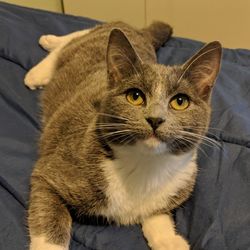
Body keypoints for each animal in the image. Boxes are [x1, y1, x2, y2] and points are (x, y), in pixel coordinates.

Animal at [24, 21, 221, 250]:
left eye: (180, 101)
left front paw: (169, 241)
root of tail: (137, 30)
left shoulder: (177, 185)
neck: (144, 166)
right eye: (135, 96)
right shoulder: (50, 172)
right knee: (74, 39)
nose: (155, 119)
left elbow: (156, 213)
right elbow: (50, 216)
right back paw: (41, 65)